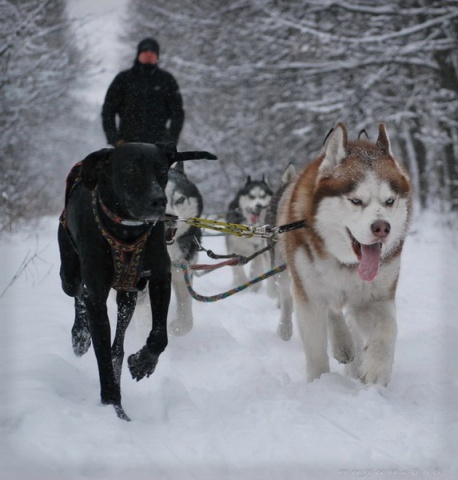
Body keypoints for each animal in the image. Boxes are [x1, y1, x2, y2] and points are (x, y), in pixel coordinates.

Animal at [58, 142, 216, 420]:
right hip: (70, 275)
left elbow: (163, 333)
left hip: (128, 295)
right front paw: (113, 407)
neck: (127, 232)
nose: (161, 205)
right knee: (79, 294)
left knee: (118, 344)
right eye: (131, 169)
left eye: (161, 170)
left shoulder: (164, 277)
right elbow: (103, 355)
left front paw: (144, 362)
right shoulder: (99, 298)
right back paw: (80, 336)